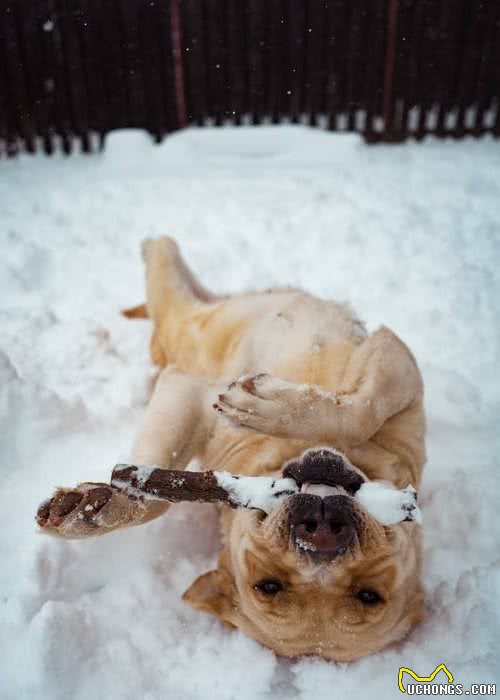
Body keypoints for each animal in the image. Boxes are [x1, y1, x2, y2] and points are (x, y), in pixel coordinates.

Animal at [37, 238, 426, 660]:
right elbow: (362, 410)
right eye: (268, 585)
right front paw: (93, 509)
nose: (321, 535)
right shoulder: (395, 360)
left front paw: (96, 507)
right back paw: (151, 245)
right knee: (164, 256)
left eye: (369, 594)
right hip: (182, 307)